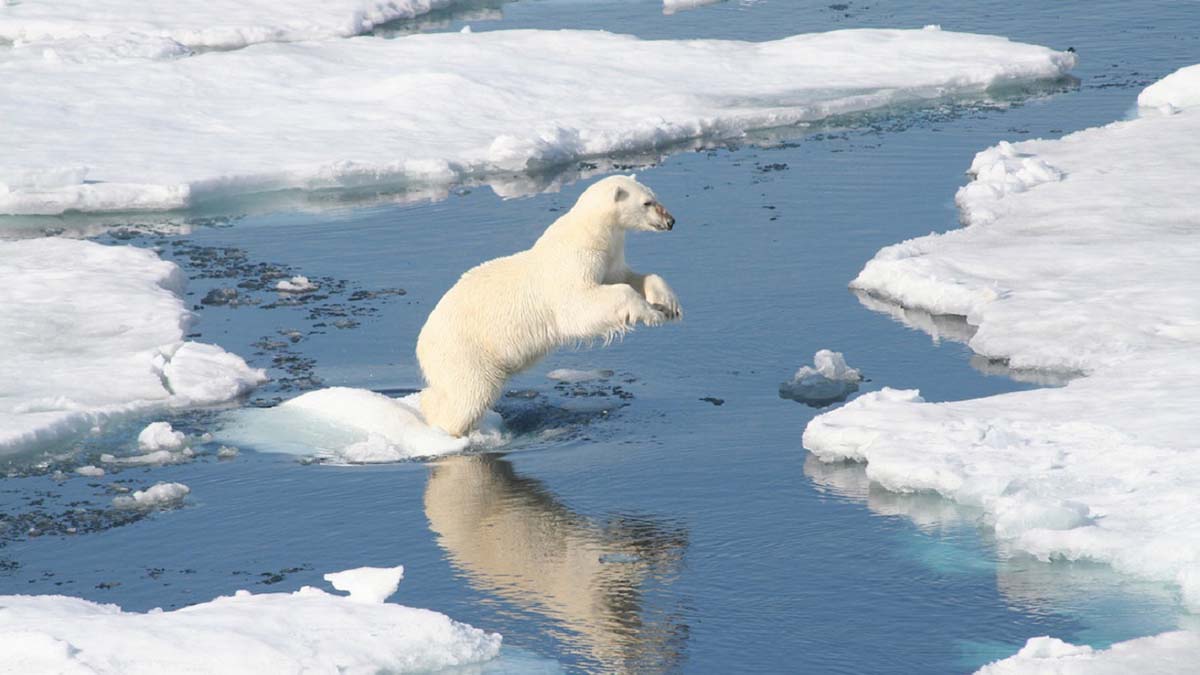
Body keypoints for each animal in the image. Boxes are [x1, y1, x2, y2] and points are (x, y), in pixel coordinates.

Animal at [417, 174, 681, 437]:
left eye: (654, 196)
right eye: (647, 203)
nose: (671, 221)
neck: (590, 233)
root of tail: (422, 344)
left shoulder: (609, 260)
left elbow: (629, 277)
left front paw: (668, 305)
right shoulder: (572, 265)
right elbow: (580, 307)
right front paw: (651, 313)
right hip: (466, 352)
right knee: (468, 396)